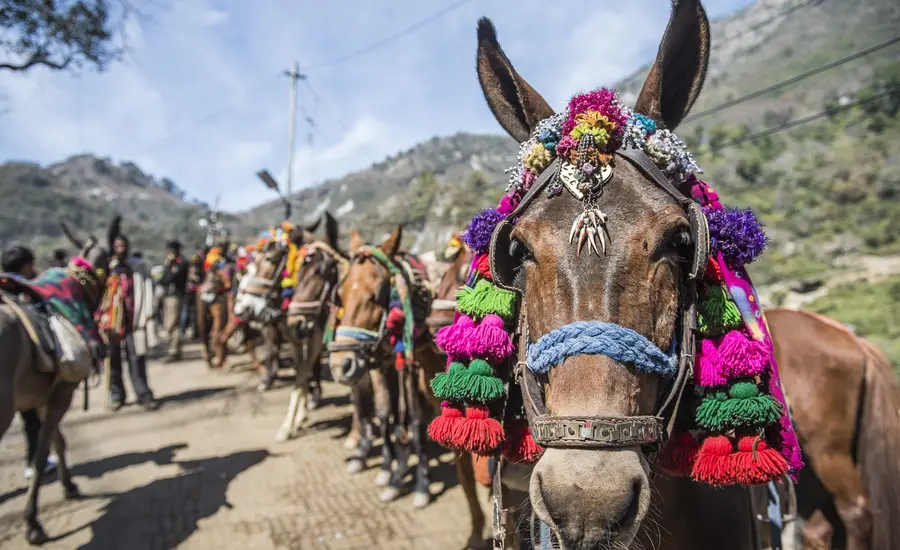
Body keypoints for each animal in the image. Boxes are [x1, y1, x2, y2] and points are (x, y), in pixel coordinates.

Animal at [0, 219, 114, 546]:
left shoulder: (42, 397)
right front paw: (33, 522)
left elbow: (57, 442)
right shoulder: (62, 392)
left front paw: (69, 486)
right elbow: (41, 454)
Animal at [327, 225, 446, 510]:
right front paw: (390, 472)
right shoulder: (383, 366)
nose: (340, 365)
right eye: (341, 294)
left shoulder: (412, 368)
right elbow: (384, 414)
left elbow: (414, 421)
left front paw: (421, 484)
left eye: (377, 294)